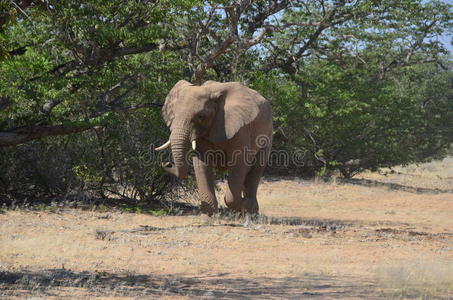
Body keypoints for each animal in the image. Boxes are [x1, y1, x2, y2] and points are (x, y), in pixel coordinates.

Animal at [154, 79, 272, 216]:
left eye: (201, 117)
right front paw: (210, 216)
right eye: (174, 115)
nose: (166, 163)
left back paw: (250, 212)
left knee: (255, 170)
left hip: (267, 135)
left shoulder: (241, 130)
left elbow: (239, 163)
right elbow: (201, 164)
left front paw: (243, 204)